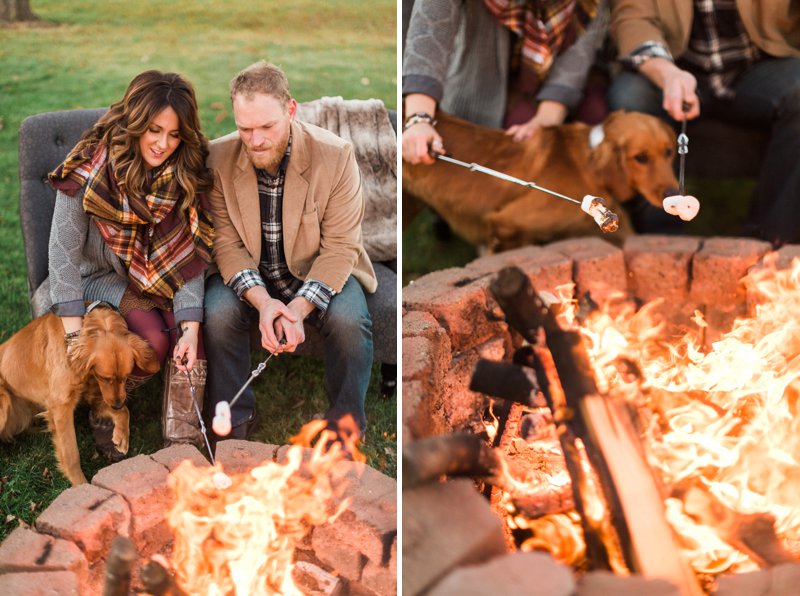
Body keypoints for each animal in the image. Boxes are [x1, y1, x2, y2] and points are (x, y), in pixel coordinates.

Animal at [0, 308, 159, 484]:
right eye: (104, 377)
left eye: (126, 377)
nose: (116, 405)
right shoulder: (61, 406)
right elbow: (71, 454)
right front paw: (80, 484)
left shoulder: (96, 396)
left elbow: (124, 411)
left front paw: (122, 436)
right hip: (4, 400)